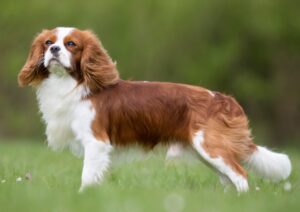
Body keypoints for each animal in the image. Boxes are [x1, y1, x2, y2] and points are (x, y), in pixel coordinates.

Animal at [17, 26, 292, 192]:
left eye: (71, 44)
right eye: (48, 42)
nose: (54, 49)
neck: (71, 84)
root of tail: (224, 99)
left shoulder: (96, 143)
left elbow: (87, 177)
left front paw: (83, 196)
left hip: (211, 147)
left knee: (241, 175)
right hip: (206, 152)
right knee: (229, 179)